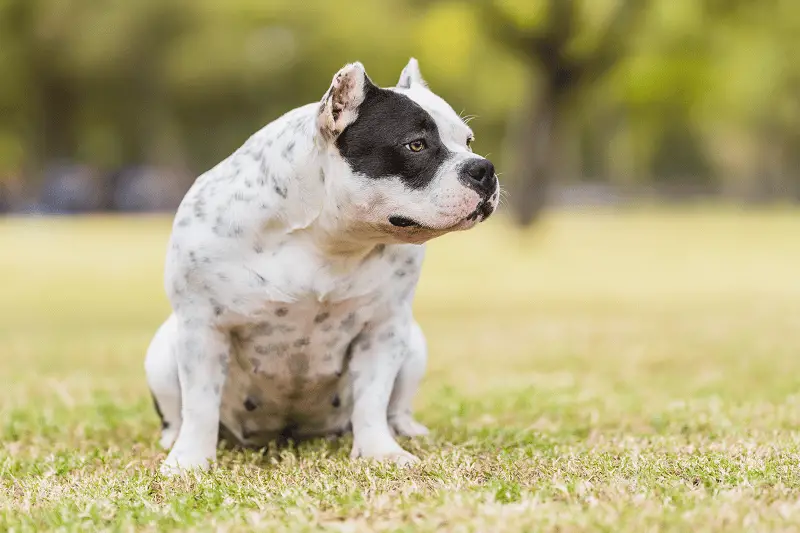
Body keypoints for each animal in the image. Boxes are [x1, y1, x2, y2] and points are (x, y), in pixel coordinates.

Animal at [141, 59, 496, 474]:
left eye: (468, 141)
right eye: (416, 144)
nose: (484, 168)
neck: (329, 237)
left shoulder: (383, 330)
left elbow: (373, 399)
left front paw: (380, 451)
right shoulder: (202, 328)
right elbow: (199, 404)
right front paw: (190, 461)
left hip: (413, 344)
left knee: (396, 406)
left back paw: (407, 430)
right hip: (163, 352)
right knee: (176, 413)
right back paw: (172, 440)